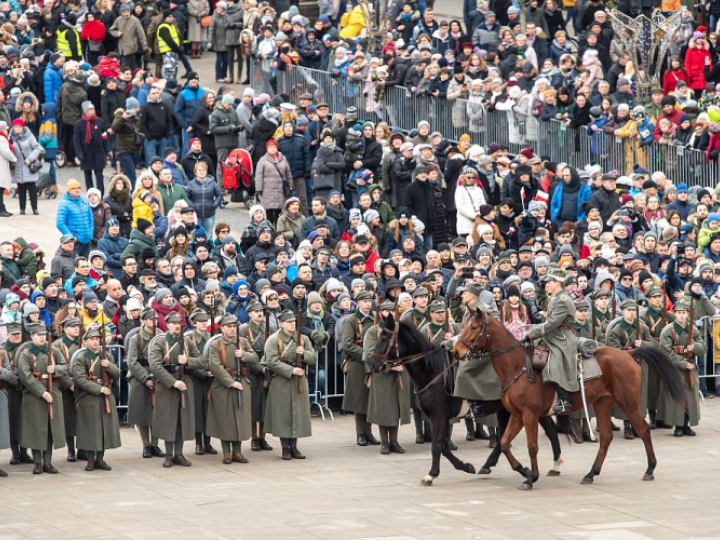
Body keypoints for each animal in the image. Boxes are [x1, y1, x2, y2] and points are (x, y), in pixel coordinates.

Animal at [452, 308, 684, 490]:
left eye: (474, 327)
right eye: (466, 325)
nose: (456, 351)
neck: (517, 367)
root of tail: (628, 354)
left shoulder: (529, 415)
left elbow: (532, 446)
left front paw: (531, 477)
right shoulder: (517, 415)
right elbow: (504, 443)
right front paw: (524, 470)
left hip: (628, 402)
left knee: (643, 429)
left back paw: (650, 468)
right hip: (603, 403)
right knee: (606, 437)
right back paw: (591, 473)